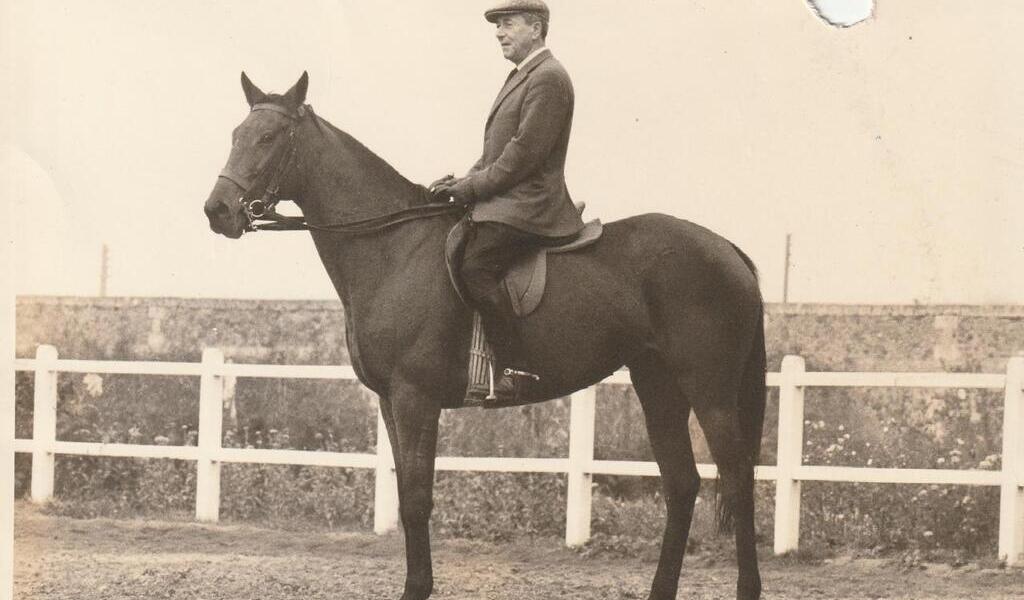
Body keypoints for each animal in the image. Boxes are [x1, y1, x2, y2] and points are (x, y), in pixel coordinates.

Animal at [203, 73, 765, 597]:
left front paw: (417, 588)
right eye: (235, 134)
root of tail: (726, 248)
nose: (218, 211)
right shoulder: (390, 400)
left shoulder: (415, 398)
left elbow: (417, 500)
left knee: (738, 479)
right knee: (682, 483)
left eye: (269, 136)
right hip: (658, 383)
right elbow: (406, 493)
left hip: (710, 390)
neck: (394, 249)